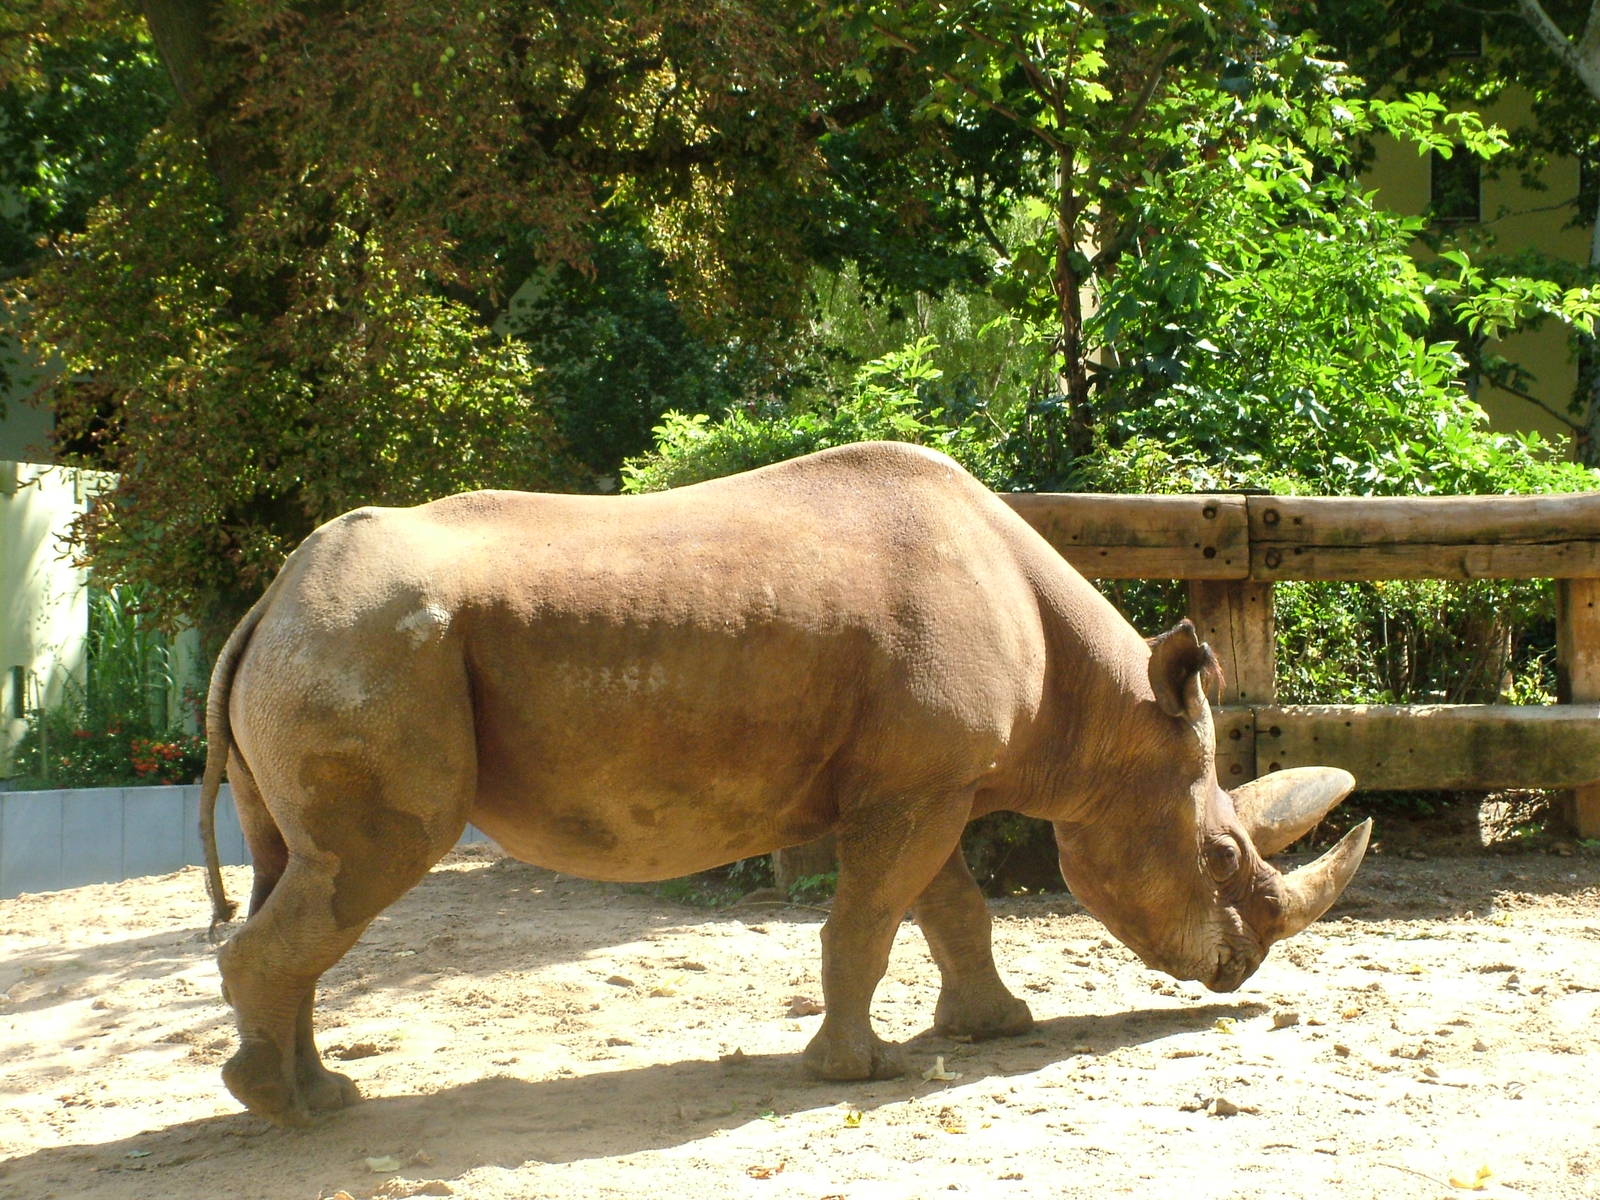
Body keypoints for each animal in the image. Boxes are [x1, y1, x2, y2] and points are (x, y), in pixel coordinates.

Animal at [198, 440, 1369, 1127]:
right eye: (1219, 853)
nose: (1238, 971)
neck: (1095, 707)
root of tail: (264, 605)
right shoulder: (915, 786)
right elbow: (871, 918)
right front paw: (857, 1074)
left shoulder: (931, 778)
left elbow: (950, 909)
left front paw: (998, 1029)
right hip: (369, 651)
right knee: (366, 863)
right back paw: (284, 1111)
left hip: (331, 650)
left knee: (296, 869)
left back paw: (316, 1096)